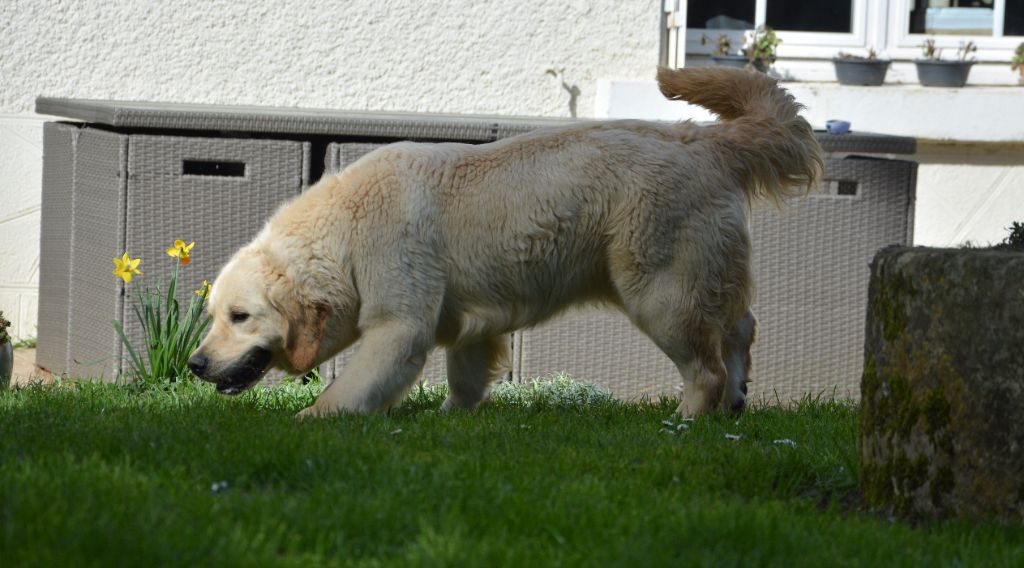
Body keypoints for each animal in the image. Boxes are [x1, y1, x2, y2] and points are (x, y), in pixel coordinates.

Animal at [186, 67, 823, 417]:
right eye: (213, 315)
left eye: (241, 317)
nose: (193, 364)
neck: (345, 233)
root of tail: (705, 142)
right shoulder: (469, 325)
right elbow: (466, 379)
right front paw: (450, 419)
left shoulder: (399, 324)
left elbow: (354, 386)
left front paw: (311, 419)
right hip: (702, 278)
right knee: (742, 327)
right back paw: (736, 401)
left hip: (660, 293)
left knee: (706, 367)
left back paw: (684, 422)